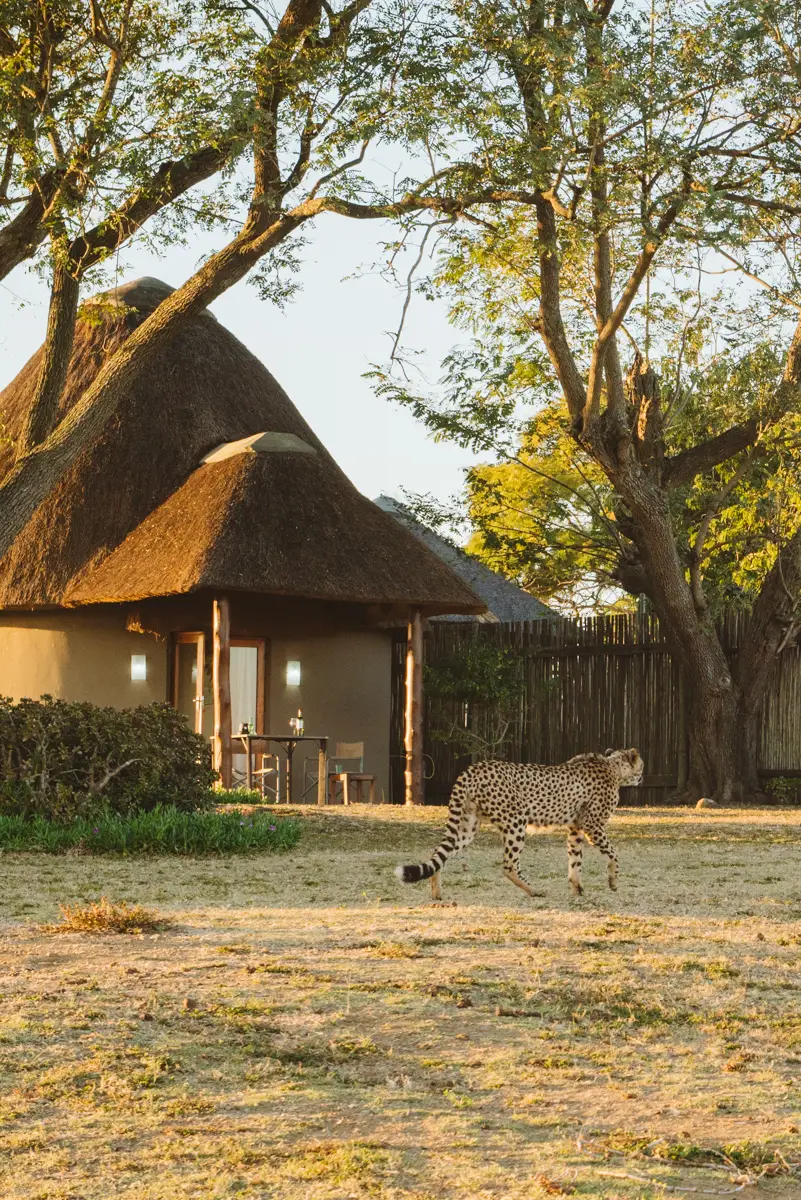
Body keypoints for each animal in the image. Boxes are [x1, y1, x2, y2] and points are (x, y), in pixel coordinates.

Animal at [396, 748, 644, 901]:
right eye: (641, 765)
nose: (642, 776)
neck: (613, 767)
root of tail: (473, 768)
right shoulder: (593, 826)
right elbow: (614, 854)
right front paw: (612, 881)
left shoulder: (575, 828)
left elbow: (575, 861)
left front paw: (577, 888)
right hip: (516, 822)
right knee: (508, 865)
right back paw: (534, 890)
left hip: (467, 827)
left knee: (439, 853)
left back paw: (436, 893)